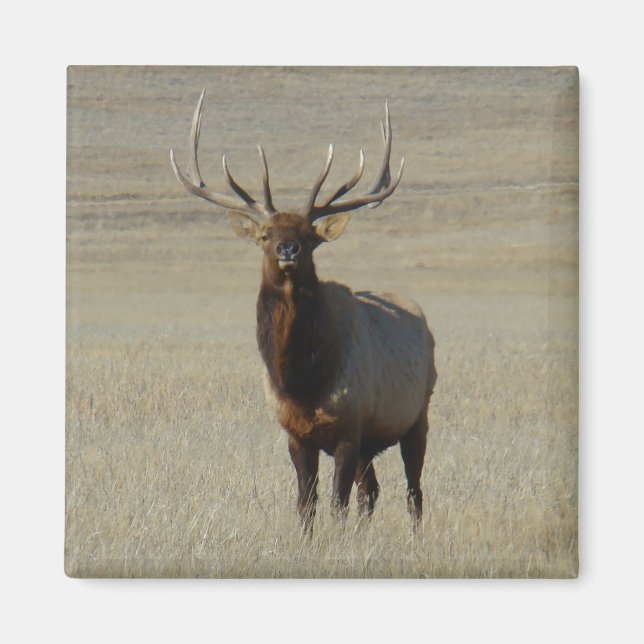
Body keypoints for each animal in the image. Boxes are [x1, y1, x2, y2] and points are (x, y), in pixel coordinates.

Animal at [170, 90, 437, 530]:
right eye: (265, 234)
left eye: (310, 236)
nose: (288, 249)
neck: (302, 381)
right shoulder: (296, 434)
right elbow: (305, 504)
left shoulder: (349, 427)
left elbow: (336, 504)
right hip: (372, 442)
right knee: (371, 491)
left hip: (418, 415)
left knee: (413, 492)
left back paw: (416, 536)